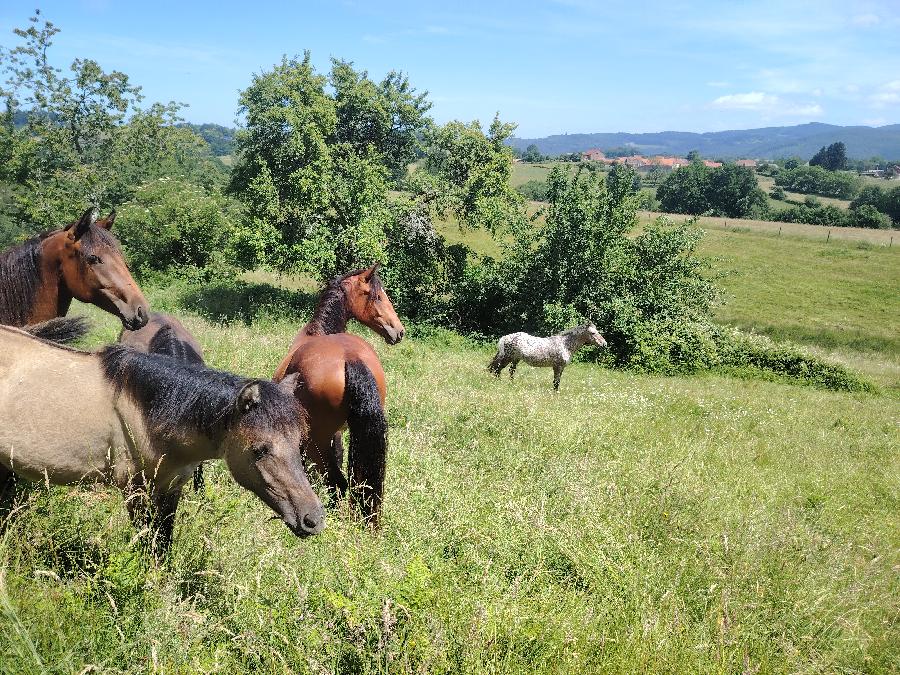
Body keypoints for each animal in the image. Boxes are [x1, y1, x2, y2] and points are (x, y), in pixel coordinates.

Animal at [0, 325, 324, 554]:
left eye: (299, 444)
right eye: (259, 450)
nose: (313, 519)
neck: (146, 414)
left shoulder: (171, 490)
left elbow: (163, 544)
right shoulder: (136, 492)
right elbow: (147, 544)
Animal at [272, 265, 405, 526]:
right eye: (377, 296)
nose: (399, 331)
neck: (317, 332)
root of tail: (350, 358)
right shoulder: (339, 433)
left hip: (316, 440)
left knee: (337, 482)